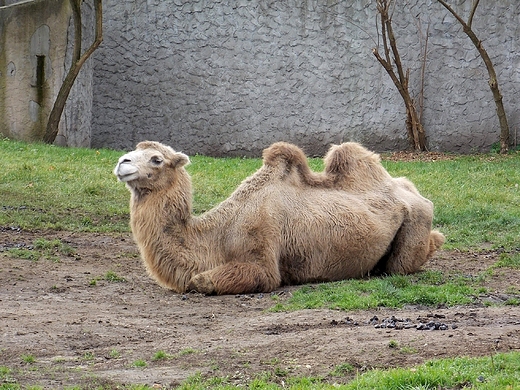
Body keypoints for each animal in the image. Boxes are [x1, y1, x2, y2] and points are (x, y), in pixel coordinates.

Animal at [114, 139, 442, 292]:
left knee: (401, 264)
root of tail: (411, 189)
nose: (122, 162)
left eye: (157, 159)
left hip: (415, 221)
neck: (217, 235)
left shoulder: (261, 255)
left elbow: (201, 281)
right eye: (132, 151)